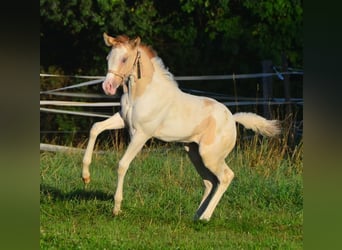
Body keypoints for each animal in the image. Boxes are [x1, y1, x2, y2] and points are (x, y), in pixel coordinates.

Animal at [81, 32, 280, 221]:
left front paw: (116, 208)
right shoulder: (123, 120)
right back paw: (196, 216)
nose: (107, 87)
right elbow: (95, 127)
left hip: (210, 156)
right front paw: (85, 177)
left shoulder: (142, 134)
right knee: (210, 182)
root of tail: (232, 118)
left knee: (225, 177)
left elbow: (122, 165)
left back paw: (205, 217)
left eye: (124, 59)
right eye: (108, 57)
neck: (142, 93)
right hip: (194, 153)